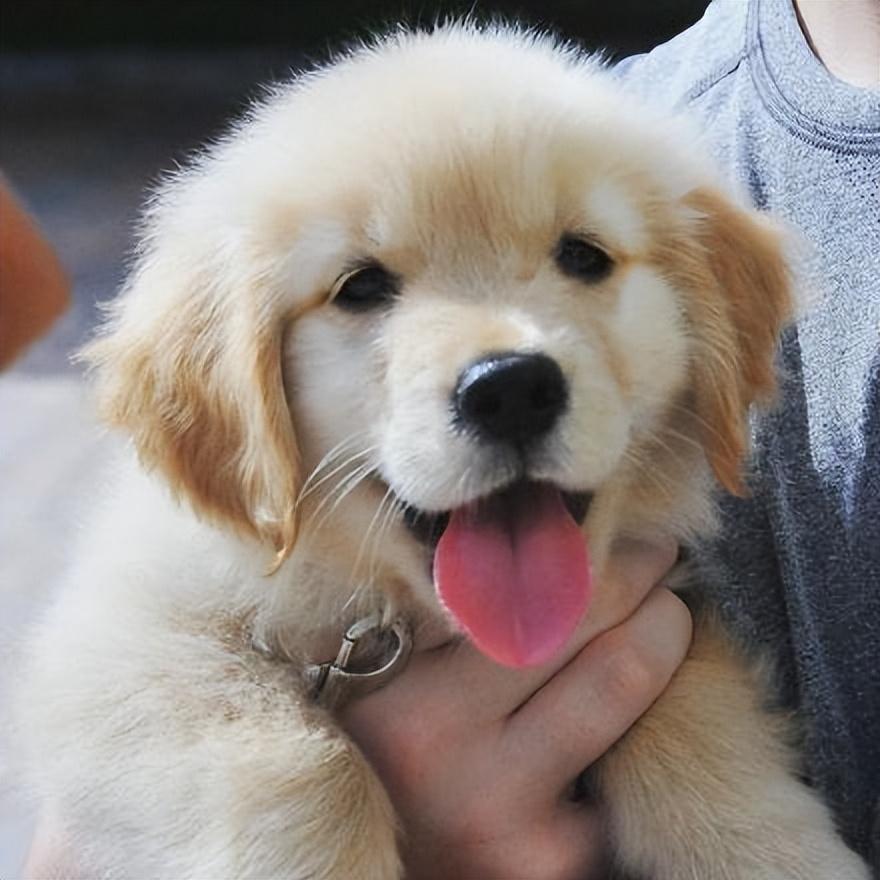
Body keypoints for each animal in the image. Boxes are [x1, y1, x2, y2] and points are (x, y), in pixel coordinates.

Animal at [14, 25, 869, 879]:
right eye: (360, 287)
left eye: (583, 256)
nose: (511, 389)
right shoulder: (116, 641)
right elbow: (296, 757)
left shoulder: (659, 616)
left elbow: (693, 702)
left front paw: (765, 848)